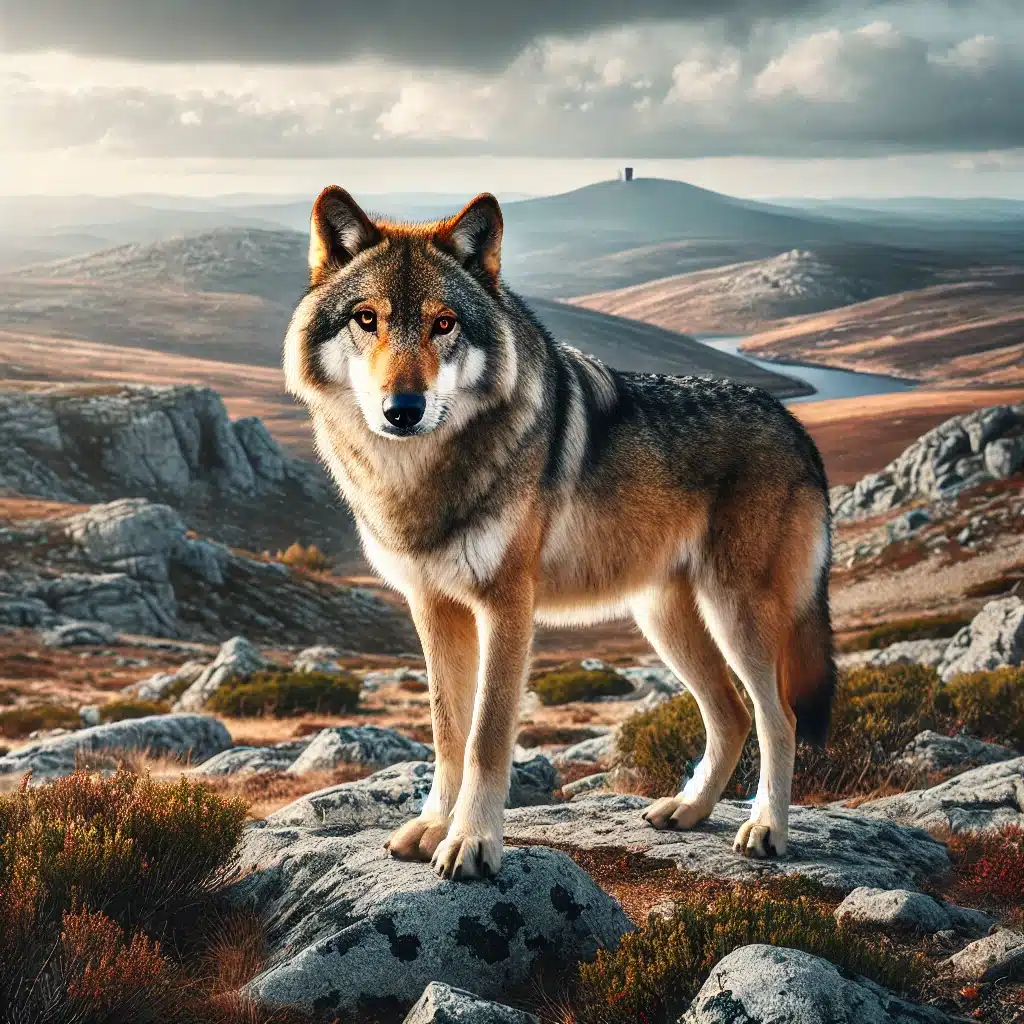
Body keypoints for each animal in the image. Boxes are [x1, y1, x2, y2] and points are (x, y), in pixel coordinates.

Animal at [283, 187, 836, 880]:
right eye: (366, 319)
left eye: (445, 324)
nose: (403, 410)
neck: (419, 478)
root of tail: (798, 428)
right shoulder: (433, 607)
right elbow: (447, 732)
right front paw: (433, 825)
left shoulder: (507, 605)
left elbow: (487, 738)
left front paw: (472, 842)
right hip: (665, 621)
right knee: (731, 715)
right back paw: (688, 810)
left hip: (736, 615)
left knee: (777, 716)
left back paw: (766, 829)